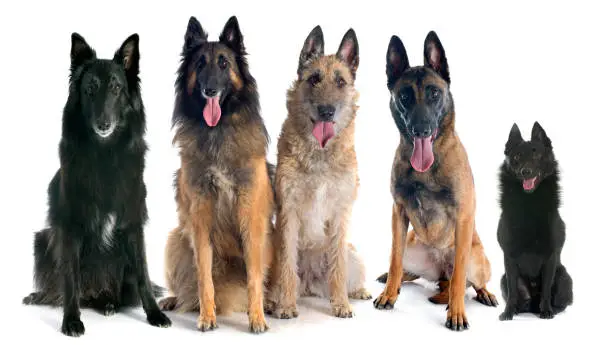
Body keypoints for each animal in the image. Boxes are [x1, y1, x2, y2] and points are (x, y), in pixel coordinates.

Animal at [22, 33, 171, 336]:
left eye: (115, 88)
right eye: (90, 89)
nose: (104, 124)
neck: (105, 154)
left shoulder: (133, 224)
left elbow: (143, 274)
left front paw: (154, 314)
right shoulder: (70, 227)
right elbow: (70, 278)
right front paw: (71, 320)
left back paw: (108, 303)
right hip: (42, 239)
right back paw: (43, 297)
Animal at [266, 25, 370, 318]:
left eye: (341, 82)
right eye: (313, 79)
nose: (326, 111)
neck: (320, 154)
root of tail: (310, 283)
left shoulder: (340, 214)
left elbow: (338, 268)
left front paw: (341, 304)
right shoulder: (288, 213)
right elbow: (287, 267)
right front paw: (286, 306)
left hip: (353, 254)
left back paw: (356, 292)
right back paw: (274, 301)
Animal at [498, 121, 572, 320]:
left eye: (536, 154)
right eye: (517, 156)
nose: (526, 171)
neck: (529, 202)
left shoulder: (551, 256)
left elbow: (546, 289)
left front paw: (546, 311)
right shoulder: (509, 258)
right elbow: (513, 291)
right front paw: (508, 312)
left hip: (564, 277)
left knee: (561, 301)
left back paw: (552, 309)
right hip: (503, 279)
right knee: (519, 297)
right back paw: (518, 308)